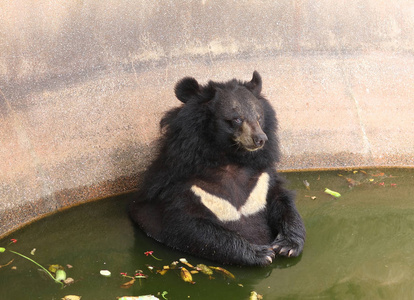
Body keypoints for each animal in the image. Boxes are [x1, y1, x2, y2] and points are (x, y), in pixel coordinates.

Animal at [131, 71, 306, 266]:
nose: (260, 139)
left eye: (259, 117)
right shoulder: (183, 186)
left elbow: (282, 201)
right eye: (236, 119)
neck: (228, 158)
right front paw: (260, 253)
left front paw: (287, 245)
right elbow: (189, 227)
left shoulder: (263, 177)